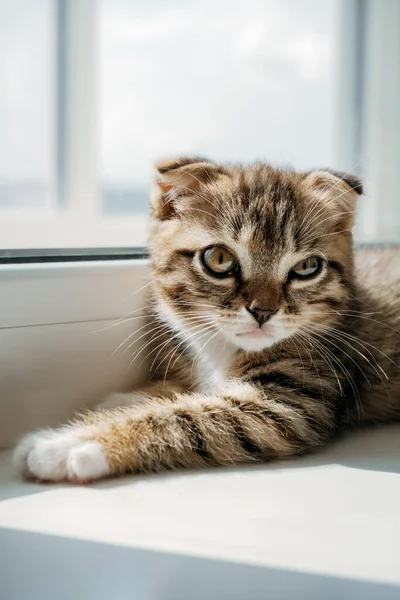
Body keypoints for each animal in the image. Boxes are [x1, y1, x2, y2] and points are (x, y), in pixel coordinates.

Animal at [14, 157, 400, 480]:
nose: (263, 311)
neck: (223, 347)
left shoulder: (292, 402)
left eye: (307, 267)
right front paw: (126, 399)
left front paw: (71, 443)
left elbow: (190, 418)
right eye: (219, 259)